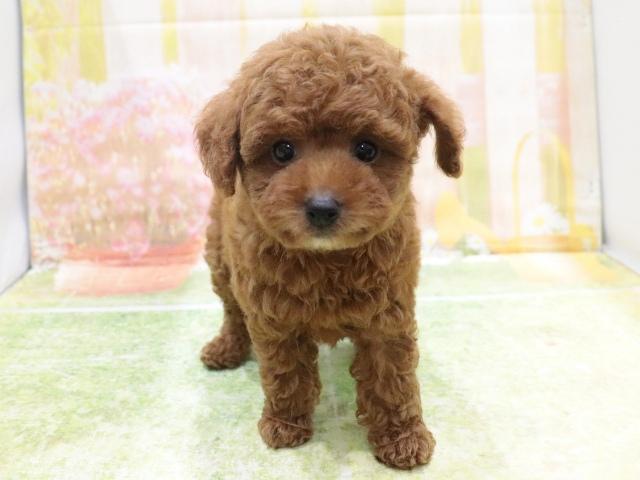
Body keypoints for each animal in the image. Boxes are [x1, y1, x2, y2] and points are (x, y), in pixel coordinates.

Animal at [195, 24, 464, 469]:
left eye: (367, 149)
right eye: (282, 150)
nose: (322, 208)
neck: (327, 258)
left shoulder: (388, 316)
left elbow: (392, 379)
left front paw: (402, 438)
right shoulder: (273, 316)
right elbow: (285, 373)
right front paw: (285, 424)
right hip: (220, 260)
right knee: (232, 310)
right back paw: (226, 349)